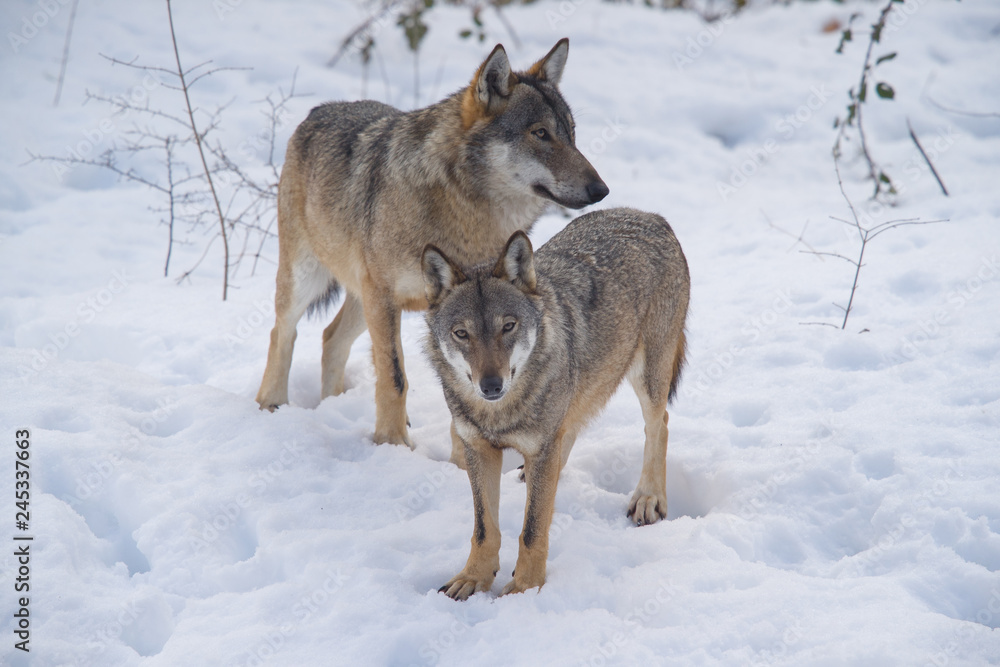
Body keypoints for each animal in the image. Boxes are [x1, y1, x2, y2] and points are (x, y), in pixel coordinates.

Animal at [254, 37, 604, 448]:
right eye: (540, 133)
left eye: (571, 133)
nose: (601, 190)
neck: (465, 212)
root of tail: (318, 110)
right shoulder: (385, 297)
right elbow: (394, 378)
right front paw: (393, 445)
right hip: (310, 280)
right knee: (282, 331)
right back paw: (272, 405)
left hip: (360, 301)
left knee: (330, 338)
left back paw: (334, 407)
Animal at [420, 207, 688, 600]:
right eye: (461, 334)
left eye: (508, 326)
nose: (491, 385)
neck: (499, 414)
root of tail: (650, 215)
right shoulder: (478, 448)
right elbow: (485, 529)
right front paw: (473, 578)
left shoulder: (540, 444)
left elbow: (532, 530)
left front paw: (524, 589)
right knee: (570, 434)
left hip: (647, 378)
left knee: (659, 424)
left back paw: (649, 498)